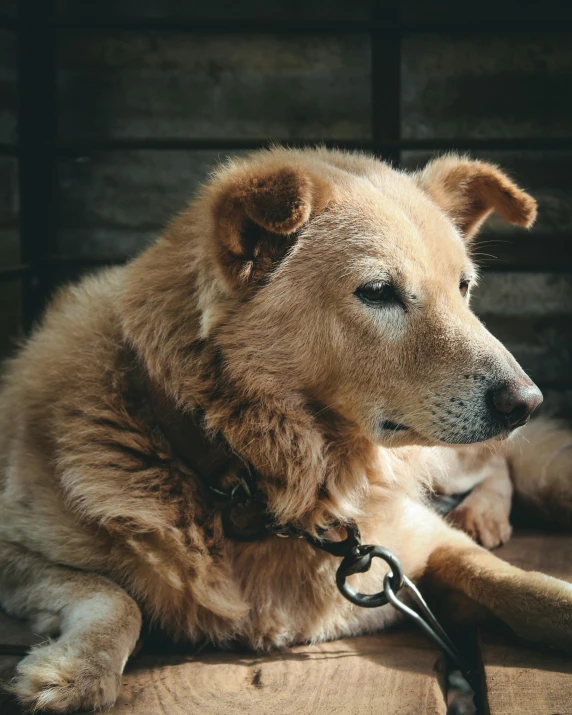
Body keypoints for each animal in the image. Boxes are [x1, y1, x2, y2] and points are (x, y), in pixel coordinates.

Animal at [1, 148, 572, 712]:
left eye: (463, 287)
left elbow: (525, 587)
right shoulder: (15, 551)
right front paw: (79, 669)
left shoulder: (429, 545)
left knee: (497, 462)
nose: (527, 401)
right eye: (378, 292)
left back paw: (483, 513)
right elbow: (113, 598)